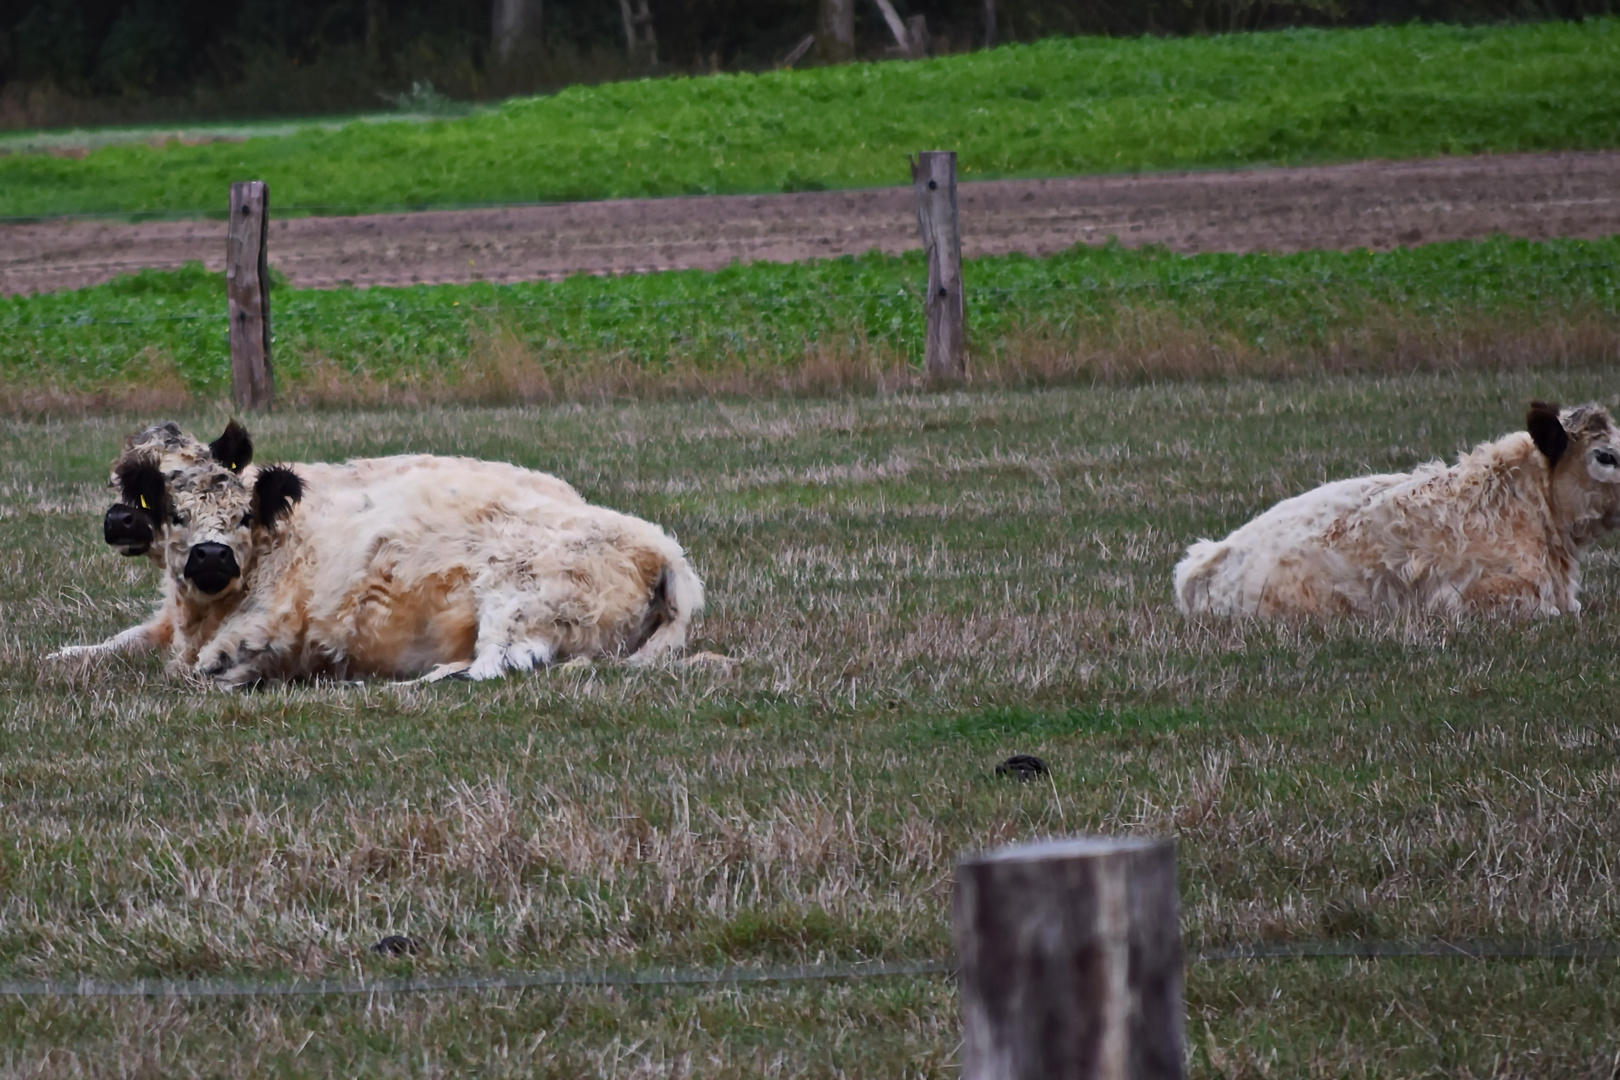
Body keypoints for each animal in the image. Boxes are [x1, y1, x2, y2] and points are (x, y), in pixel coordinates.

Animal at [52, 420, 703, 683]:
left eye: (240, 515)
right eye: (159, 501)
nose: (118, 522)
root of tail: (662, 548)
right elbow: (116, 642)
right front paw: (66, 654)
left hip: (518, 604)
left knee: (496, 668)